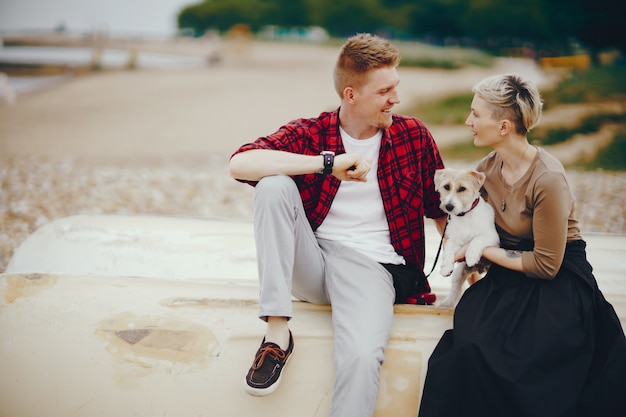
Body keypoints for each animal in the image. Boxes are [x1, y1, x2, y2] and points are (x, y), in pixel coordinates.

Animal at [434, 167, 498, 308]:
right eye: (446, 187)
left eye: (462, 188)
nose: (449, 207)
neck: (464, 216)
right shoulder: (454, 240)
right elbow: (448, 250)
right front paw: (445, 267)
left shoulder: (493, 238)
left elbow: (476, 240)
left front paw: (471, 256)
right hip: (459, 273)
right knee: (455, 289)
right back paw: (446, 304)